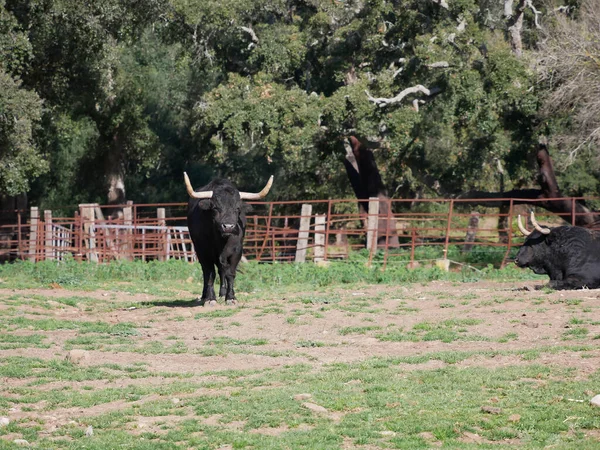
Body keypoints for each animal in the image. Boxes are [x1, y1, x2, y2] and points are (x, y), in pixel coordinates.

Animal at [185, 172, 274, 306]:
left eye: (237, 209)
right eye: (215, 208)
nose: (228, 226)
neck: (221, 240)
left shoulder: (236, 252)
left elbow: (230, 273)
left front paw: (231, 297)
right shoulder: (204, 252)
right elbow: (209, 274)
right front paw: (210, 298)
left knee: (222, 271)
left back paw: (222, 294)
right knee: (207, 273)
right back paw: (204, 296)